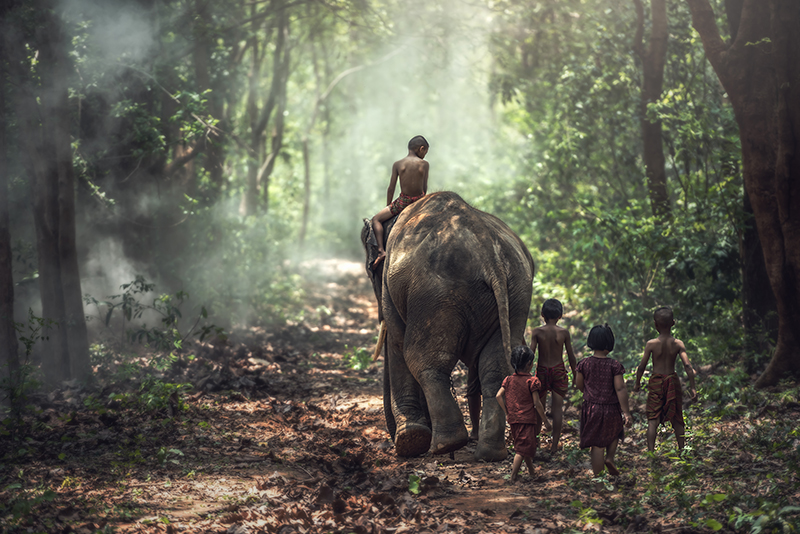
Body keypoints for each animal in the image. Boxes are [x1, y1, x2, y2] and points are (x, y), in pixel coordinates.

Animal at [360, 192, 536, 460]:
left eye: (371, 272)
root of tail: (489, 255)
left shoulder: (391, 288)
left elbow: (397, 342)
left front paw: (409, 441)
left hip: (436, 294)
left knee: (423, 359)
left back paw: (443, 445)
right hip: (517, 293)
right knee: (497, 367)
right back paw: (489, 453)